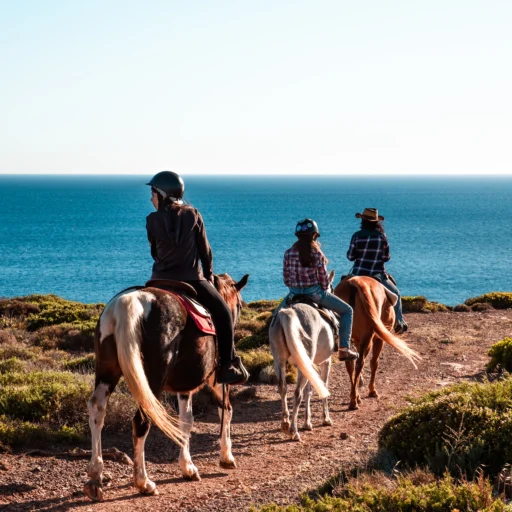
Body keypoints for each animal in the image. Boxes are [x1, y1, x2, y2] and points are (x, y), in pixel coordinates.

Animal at [85, 274, 249, 502]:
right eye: (240, 304)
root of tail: (128, 304)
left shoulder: (184, 386)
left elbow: (186, 421)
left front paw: (188, 467)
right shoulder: (215, 379)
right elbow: (223, 411)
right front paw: (224, 458)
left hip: (106, 372)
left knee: (97, 410)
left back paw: (95, 478)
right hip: (151, 380)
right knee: (141, 421)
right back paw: (143, 482)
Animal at [268, 276, 336, 440]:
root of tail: (288, 313)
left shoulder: (309, 366)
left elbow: (309, 390)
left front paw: (307, 422)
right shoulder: (326, 362)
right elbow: (321, 387)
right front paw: (325, 418)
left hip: (279, 360)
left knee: (283, 388)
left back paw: (285, 424)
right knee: (297, 393)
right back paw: (294, 430)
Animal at [334, 274, 422, 410]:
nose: (402, 326)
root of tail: (354, 283)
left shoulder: (356, 340)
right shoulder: (378, 339)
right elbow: (374, 363)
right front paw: (372, 391)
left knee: (350, 364)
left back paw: (354, 397)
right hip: (368, 338)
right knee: (360, 363)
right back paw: (354, 401)